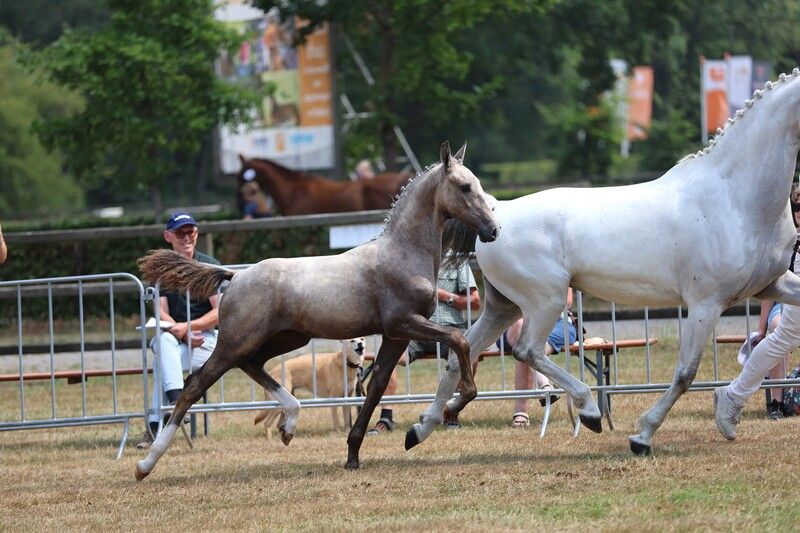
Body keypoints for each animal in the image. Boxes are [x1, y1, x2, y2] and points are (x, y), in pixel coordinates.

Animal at [405, 69, 800, 457]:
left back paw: (421, 427)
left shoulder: (771, 284)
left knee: (460, 353)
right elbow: (685, 373)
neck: (733, 196)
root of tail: (496, 211)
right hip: (544, 300)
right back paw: (590, 410)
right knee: (526, 350)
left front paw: (726, 418)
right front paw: (642, 436)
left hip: (504, 306)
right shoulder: (706, 303)